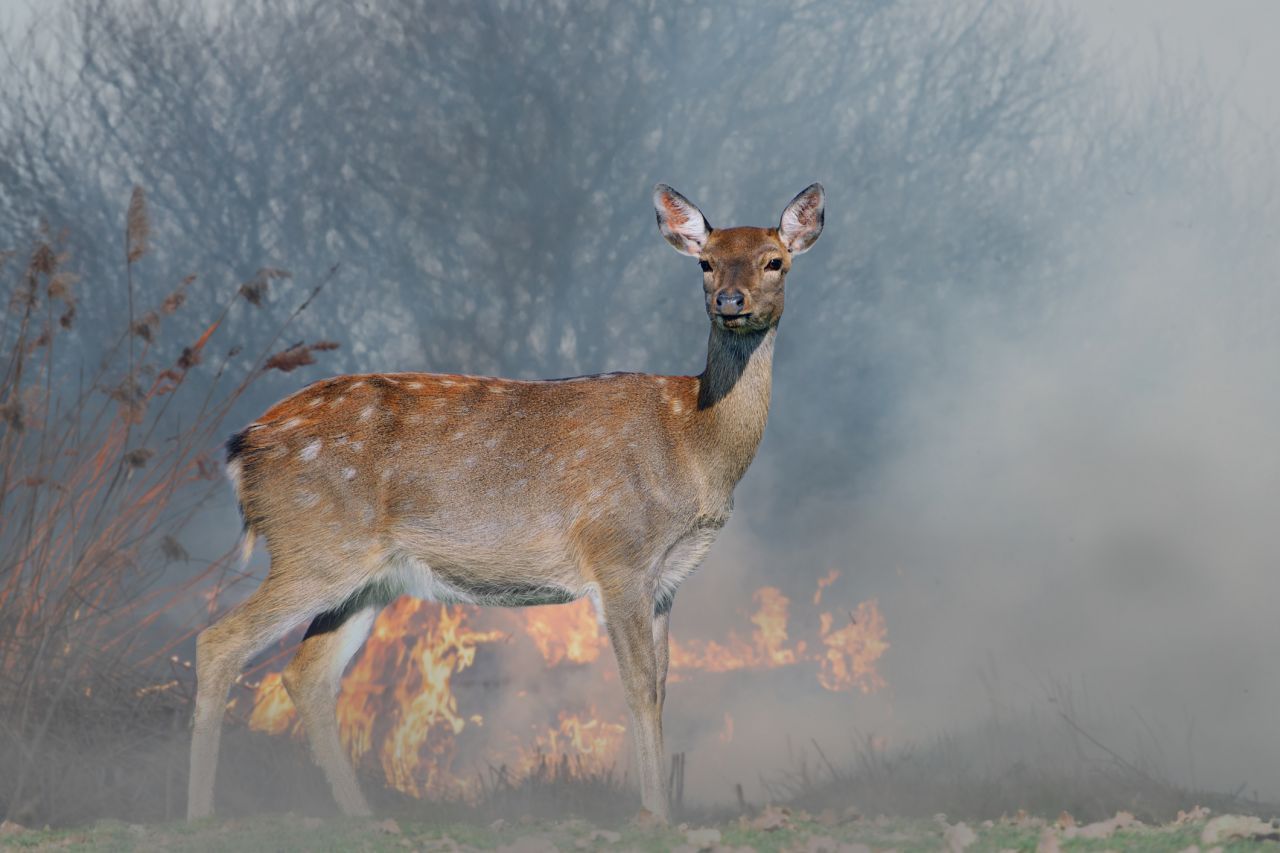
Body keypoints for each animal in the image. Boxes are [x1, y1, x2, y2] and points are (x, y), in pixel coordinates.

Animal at [185, 179, 824, 819]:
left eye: (774, 261)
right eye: (705, 262)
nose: (730, 301)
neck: (695, 443)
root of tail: (243, 449)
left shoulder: (666, 579)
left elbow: (663, 688)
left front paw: (662, 808)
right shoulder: (617, 554)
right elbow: (639, 689)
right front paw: (656, 816)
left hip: (370, 576)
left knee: (308, 674)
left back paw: (363, 817)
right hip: (316, 544)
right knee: (219, 641)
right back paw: (200, 812)